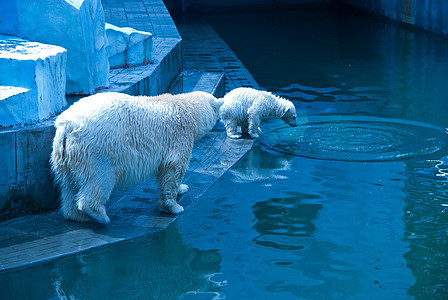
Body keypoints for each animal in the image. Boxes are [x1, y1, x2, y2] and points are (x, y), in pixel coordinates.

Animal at [51, 91, 224, 225]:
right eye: (218, 109)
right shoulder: (177, 138)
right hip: (97, 151)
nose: (220, 120)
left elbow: (163, 173)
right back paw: (100, 216)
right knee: (99, 180)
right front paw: (174, 207)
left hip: (66, 154)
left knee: (70, 184)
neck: (185, 108)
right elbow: (173, 171)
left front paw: (183, 188)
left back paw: (76, 216)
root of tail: (67, 125)